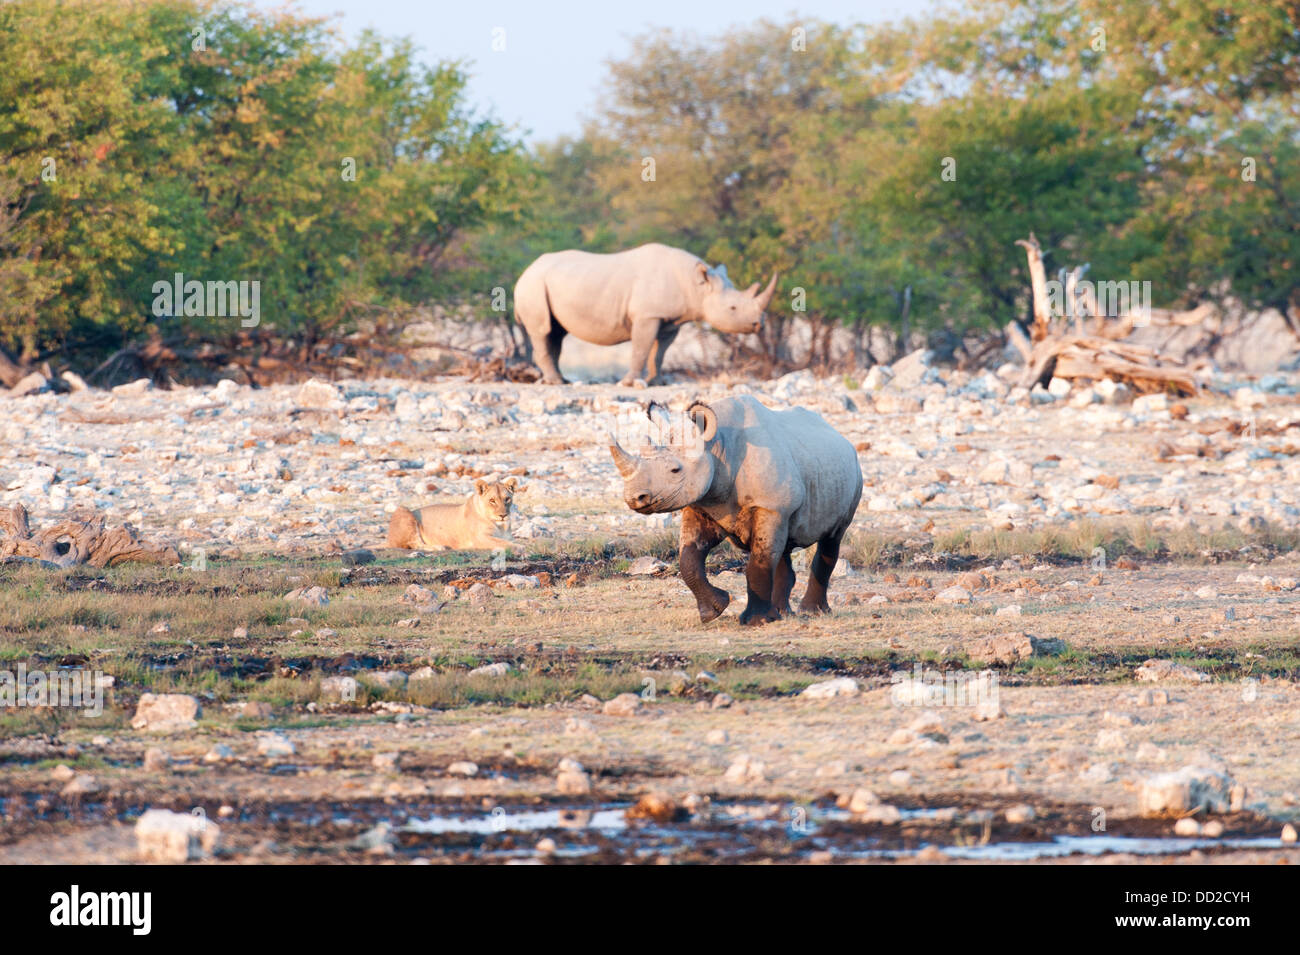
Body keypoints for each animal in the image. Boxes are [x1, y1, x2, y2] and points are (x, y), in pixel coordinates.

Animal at [512, 244, 774, 387]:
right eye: (733, 308)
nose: (758, 325)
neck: (696, 285)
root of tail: (525, 271)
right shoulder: (647, 315)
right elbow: (641, 347)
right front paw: (629, 383)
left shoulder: (670, 319)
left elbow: (659, 352)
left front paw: (657, 382)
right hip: (533, 286)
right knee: (542, 330)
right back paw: (555, 382)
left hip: (548, 283)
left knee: (556, 333)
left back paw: (562, 380)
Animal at [608, 392, 863, 623]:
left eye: (675, 470)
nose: (634, 498)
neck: (717, 447)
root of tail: (841, 436)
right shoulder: (702, 504)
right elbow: (688, 558)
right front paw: (713, 611)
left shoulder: (769, 507)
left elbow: (758, 564)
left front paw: (755, 621)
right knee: (783, 545)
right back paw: (782, 613)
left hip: (852, 474)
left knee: (832, 538)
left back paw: (812, 612)